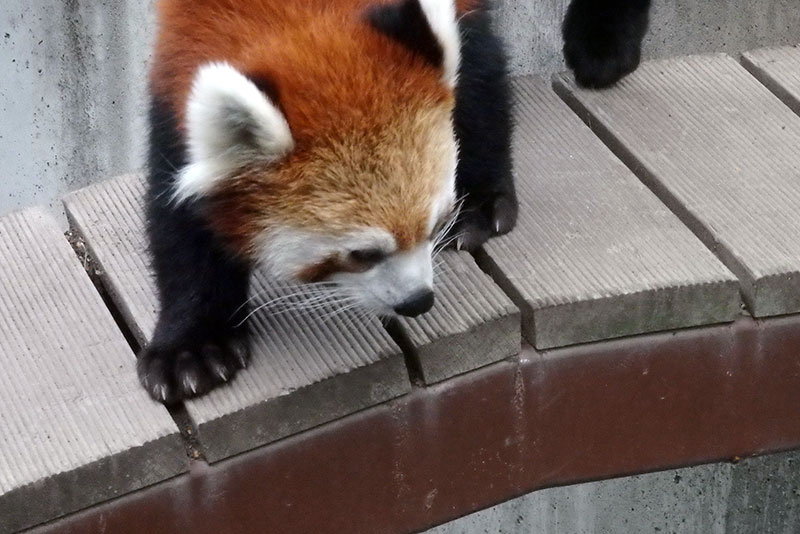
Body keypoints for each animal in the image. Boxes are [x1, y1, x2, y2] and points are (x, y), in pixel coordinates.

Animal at [141, 0, 516, 404]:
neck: (297, 20)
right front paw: (192, 347)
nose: (417, 301)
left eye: (435, 226)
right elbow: (180, 225)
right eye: (362, 254)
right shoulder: (174, 77)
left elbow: (480, 69)